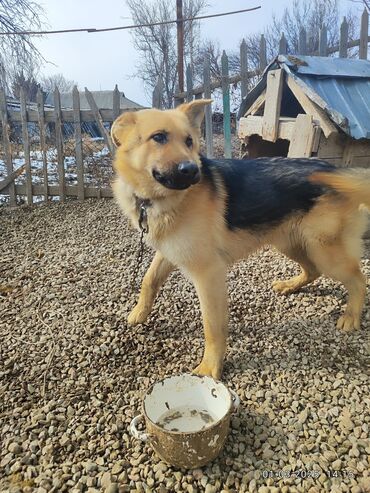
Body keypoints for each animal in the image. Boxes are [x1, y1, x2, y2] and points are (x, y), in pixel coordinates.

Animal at [111, 99, 370, 376]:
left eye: (189, 141)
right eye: (158, 137)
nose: (192, 170)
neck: (156, 200)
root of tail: (335, 168)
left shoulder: (208, 275)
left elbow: (212, 326)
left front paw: (210, 367)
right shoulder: (169, 252)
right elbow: (148, 281)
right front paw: (139, 312)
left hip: (323, 251)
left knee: (358, 280)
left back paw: (352, 316)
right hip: (292, 244)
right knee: (313, 271)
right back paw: (290, 285)